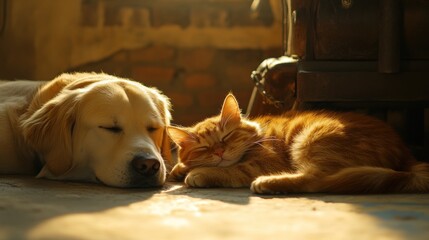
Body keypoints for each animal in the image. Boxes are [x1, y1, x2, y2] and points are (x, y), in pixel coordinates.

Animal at [166, 93, 428, 194]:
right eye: (204, 148)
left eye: (226, 137)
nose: (219, 152)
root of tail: (406, 153)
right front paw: (180, 169)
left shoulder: (262, 163)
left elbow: (229, 171)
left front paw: (199, 173)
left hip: (312, 140)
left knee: (316, 181)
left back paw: (268, 183)